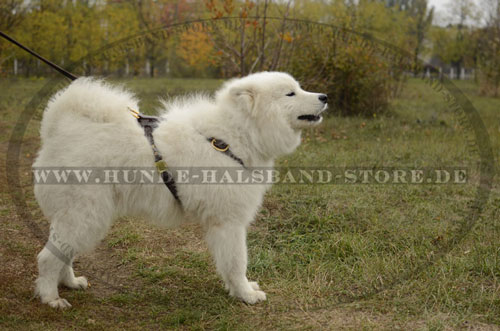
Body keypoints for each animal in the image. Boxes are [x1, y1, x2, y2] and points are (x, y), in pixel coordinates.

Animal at [32, 72, 328, 308]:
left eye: (299, 87)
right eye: (290, 93)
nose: (325, 96)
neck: (232, 138)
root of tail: (57, 131)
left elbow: (229, 263)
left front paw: (240, 290)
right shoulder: (229, 222)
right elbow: (236, 262)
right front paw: (246, 295)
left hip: (81, 216)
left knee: (63, 252)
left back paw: (71, 282)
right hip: (86, 214)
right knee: (47, 257)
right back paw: (51, 299)